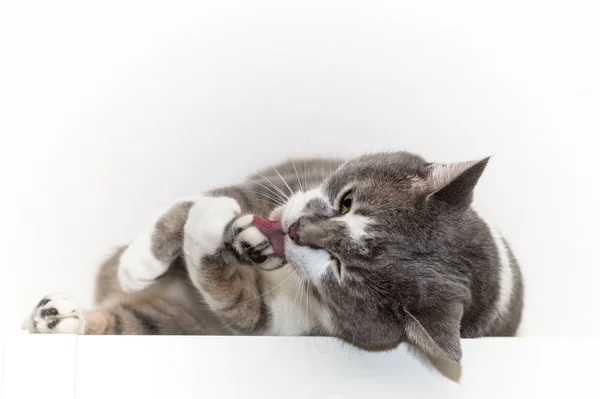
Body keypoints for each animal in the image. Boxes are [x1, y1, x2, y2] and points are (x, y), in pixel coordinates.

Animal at [24, 151, 520, 366]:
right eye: (346, 202)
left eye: (341, 269)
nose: (295, 231)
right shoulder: (280, 184)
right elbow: (203, 201)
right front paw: (139, 263)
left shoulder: (279, 326)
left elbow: (234, 299)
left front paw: (217, 232)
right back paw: (54, 313)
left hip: (174, 326)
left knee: (130, 322)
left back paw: (60, 318)